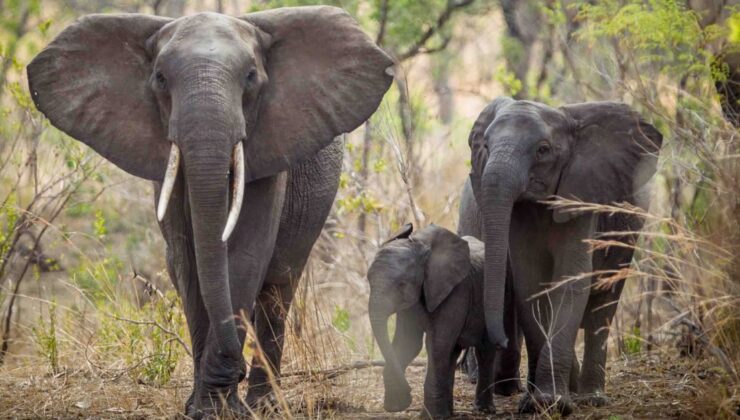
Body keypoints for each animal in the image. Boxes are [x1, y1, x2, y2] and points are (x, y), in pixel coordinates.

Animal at [27, 6, 394, 416]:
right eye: (160, 79)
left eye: (250, 77)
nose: (235, 370)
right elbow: (188, 263)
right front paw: (202, 408)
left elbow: (246, 255)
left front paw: (218, 407)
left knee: (279, 288)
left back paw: (264, 405)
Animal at [368, 225, 500, 418]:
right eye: (369, 281)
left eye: (402, 284)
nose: (409, 394)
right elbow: (408, 343)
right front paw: (397, 405)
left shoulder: (456, 290)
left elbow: (436, 345)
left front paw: (428, 417)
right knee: (452, 353)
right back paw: (449, 413)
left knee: (484, 351)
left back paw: (483, 410)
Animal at [462, 96, 664, 414]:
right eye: (485, 146)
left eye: (543, 150)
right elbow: (531, 285)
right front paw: (534, 404)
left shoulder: (583, 195)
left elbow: (571, 281)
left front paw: (551, 403)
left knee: (603, 304)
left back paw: (591, 398)